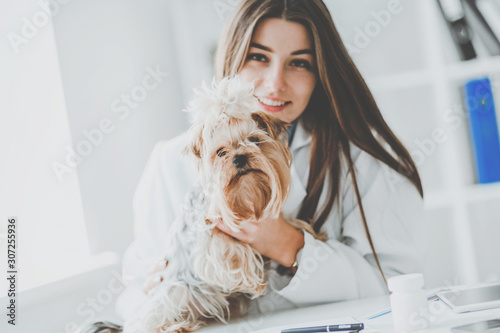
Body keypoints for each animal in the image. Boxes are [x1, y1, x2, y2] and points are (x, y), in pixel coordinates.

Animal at [82, 76, 324, 332]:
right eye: (221, 152)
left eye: (254, 140)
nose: (239, 158)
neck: (245, 194)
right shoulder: (208, 237)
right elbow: (230, 251)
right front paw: (254, 282)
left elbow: (290, 225)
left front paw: (312, 232)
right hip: (176, 290)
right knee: (145, 321)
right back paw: (173, 325)